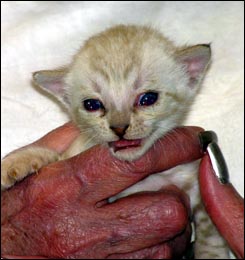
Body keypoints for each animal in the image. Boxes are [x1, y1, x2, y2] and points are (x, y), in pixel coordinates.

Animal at [0, 24, 229, 258]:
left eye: (148, 99)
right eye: (92, 104)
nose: (119, 128)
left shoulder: (194, 189)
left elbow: (211, 236)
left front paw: (210, 253)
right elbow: (52, 155)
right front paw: (14, 163)